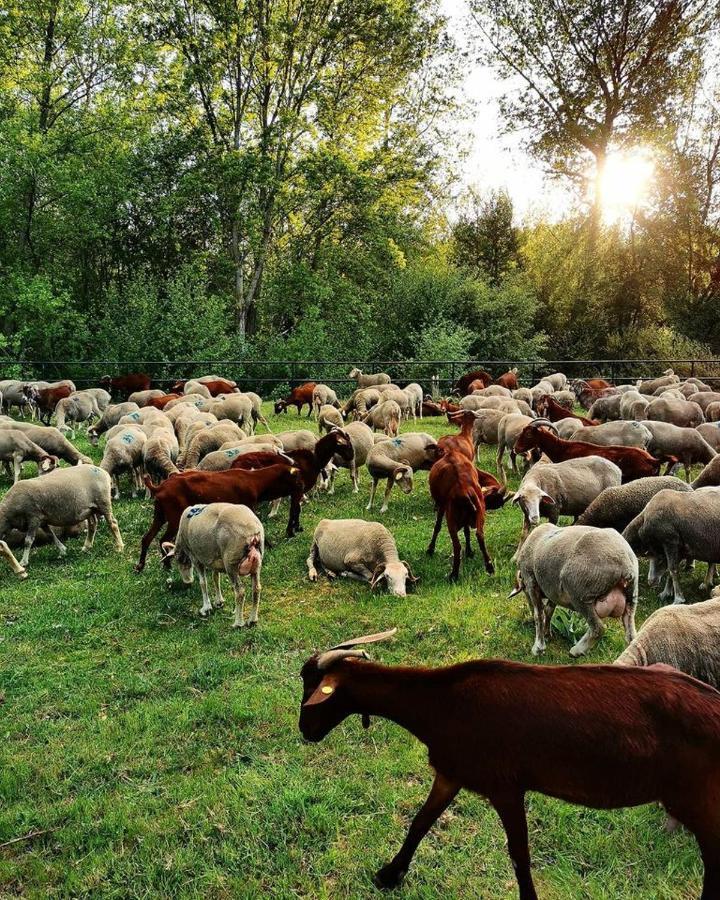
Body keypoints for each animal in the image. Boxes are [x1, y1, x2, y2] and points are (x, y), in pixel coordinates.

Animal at [512, 520, 636, 660]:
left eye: (524, 591)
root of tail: (625, 564)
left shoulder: (531, 581)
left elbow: (539, 614)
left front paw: (538, 647)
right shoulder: (553, 589)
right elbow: (549, 611)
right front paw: (547, 633)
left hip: (580, 592)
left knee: (598, 628)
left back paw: (576, 651)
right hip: (631, 596)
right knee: (631, 632)